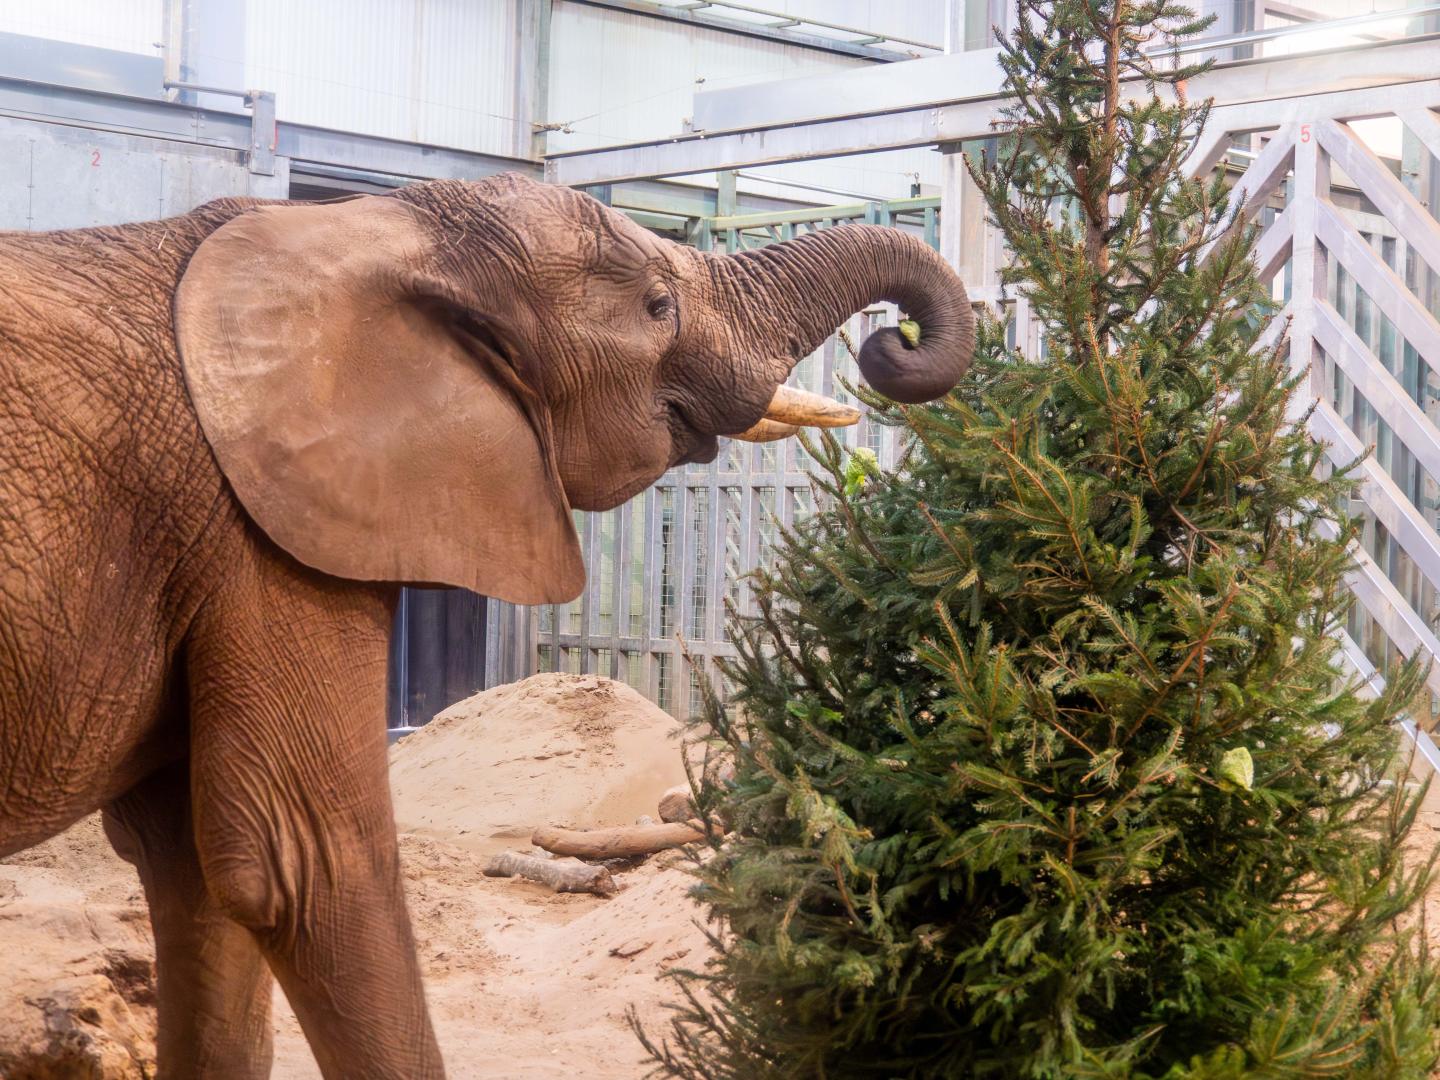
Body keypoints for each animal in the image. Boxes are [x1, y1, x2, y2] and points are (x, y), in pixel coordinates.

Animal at [0, 173, 973, 1077]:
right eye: (657, 306)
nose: (893, 343)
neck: (372, 224)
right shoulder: (258, 534)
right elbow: (303, 862)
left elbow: (200, 877)